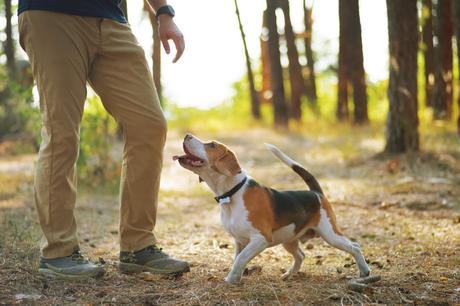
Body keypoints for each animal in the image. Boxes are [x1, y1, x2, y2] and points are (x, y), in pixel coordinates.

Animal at [172, 135, 370, 284]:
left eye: (211, 145)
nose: (187, 135)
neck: (232, 193)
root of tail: (316, 193)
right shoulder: (239, 241)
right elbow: (237, 259)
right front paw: (236, 277)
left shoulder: (261, 238)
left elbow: (240, 259)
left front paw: (230, 280)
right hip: (289, 239)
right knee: (301, 255)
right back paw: (289, 274)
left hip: (330, 234)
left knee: (355, 246)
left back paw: (364, 271)